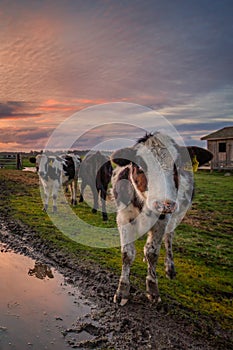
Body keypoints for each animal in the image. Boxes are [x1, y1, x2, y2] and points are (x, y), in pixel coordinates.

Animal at [111, 133, 213, 304]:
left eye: (177, 167)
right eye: (140, 167)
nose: (164, 204)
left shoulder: (162, 220)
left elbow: (152, 253)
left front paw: (152, 289)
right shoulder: (124, 218)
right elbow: (127, 254)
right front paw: (122, 290)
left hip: (175, 217)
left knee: (168, 238)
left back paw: (170, 267)